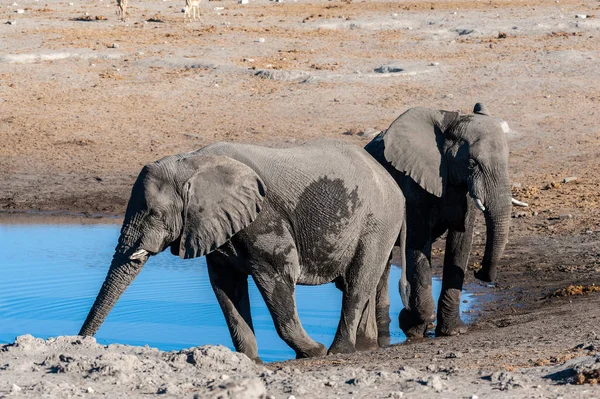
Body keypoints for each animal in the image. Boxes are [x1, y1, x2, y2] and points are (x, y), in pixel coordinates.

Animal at [79, 138, 406, 362]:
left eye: (155, 214)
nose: (82, 343)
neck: (193, 162)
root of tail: (388, 178)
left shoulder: (264, 218)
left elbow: (278, 278)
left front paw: (314, 352)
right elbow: (226, 288)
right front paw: (250, 361)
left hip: (377, 222)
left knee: (356, 285)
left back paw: (338, 351)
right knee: (365, 284)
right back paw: (365, 347)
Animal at [360, 102, 524, 338]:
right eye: (472, 163)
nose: (479, 273)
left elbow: (460, 244)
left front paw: (453, 331)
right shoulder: (413, 187)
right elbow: (418, 245)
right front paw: (411, 325)